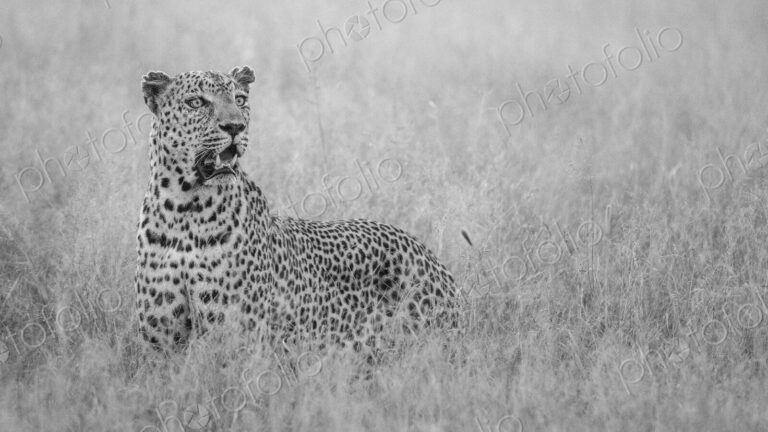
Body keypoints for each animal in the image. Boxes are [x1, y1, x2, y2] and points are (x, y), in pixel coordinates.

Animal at [134, 66, 459, 355]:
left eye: (240, 99)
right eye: (196, 103)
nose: (236, 127)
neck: (185, 208)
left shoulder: (236, 341)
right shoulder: (160, 345)